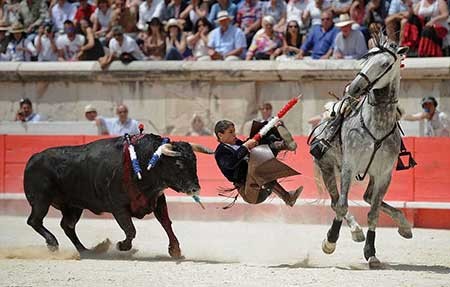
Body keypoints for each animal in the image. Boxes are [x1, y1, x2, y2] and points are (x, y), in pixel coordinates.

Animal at [24, 134, 213, 258]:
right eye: (179, 164)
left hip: (74, 206)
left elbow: (166, 223)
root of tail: (33, 158)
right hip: (41, 200)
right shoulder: (118, 206)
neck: (143, 162)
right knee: (34, 221)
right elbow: (130, 229)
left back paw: (86, 251)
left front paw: (175, 250)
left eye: (195, 162)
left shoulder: (157, 199)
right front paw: (122, 246)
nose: (195, 188)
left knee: (67, 225)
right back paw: (53, 244)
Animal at [312, 37, 412, 268]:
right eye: (366, 60)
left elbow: (373, 213)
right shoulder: (349, 167)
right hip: (326, 167)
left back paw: (404, 225)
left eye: (385, 64)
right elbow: (342, 204)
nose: (354, 87)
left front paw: (371, 252)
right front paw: (330, 241)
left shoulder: (385, 174)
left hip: (371, 175)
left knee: (367, 198)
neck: (377, 125)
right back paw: (355, 231)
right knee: (336, 201)